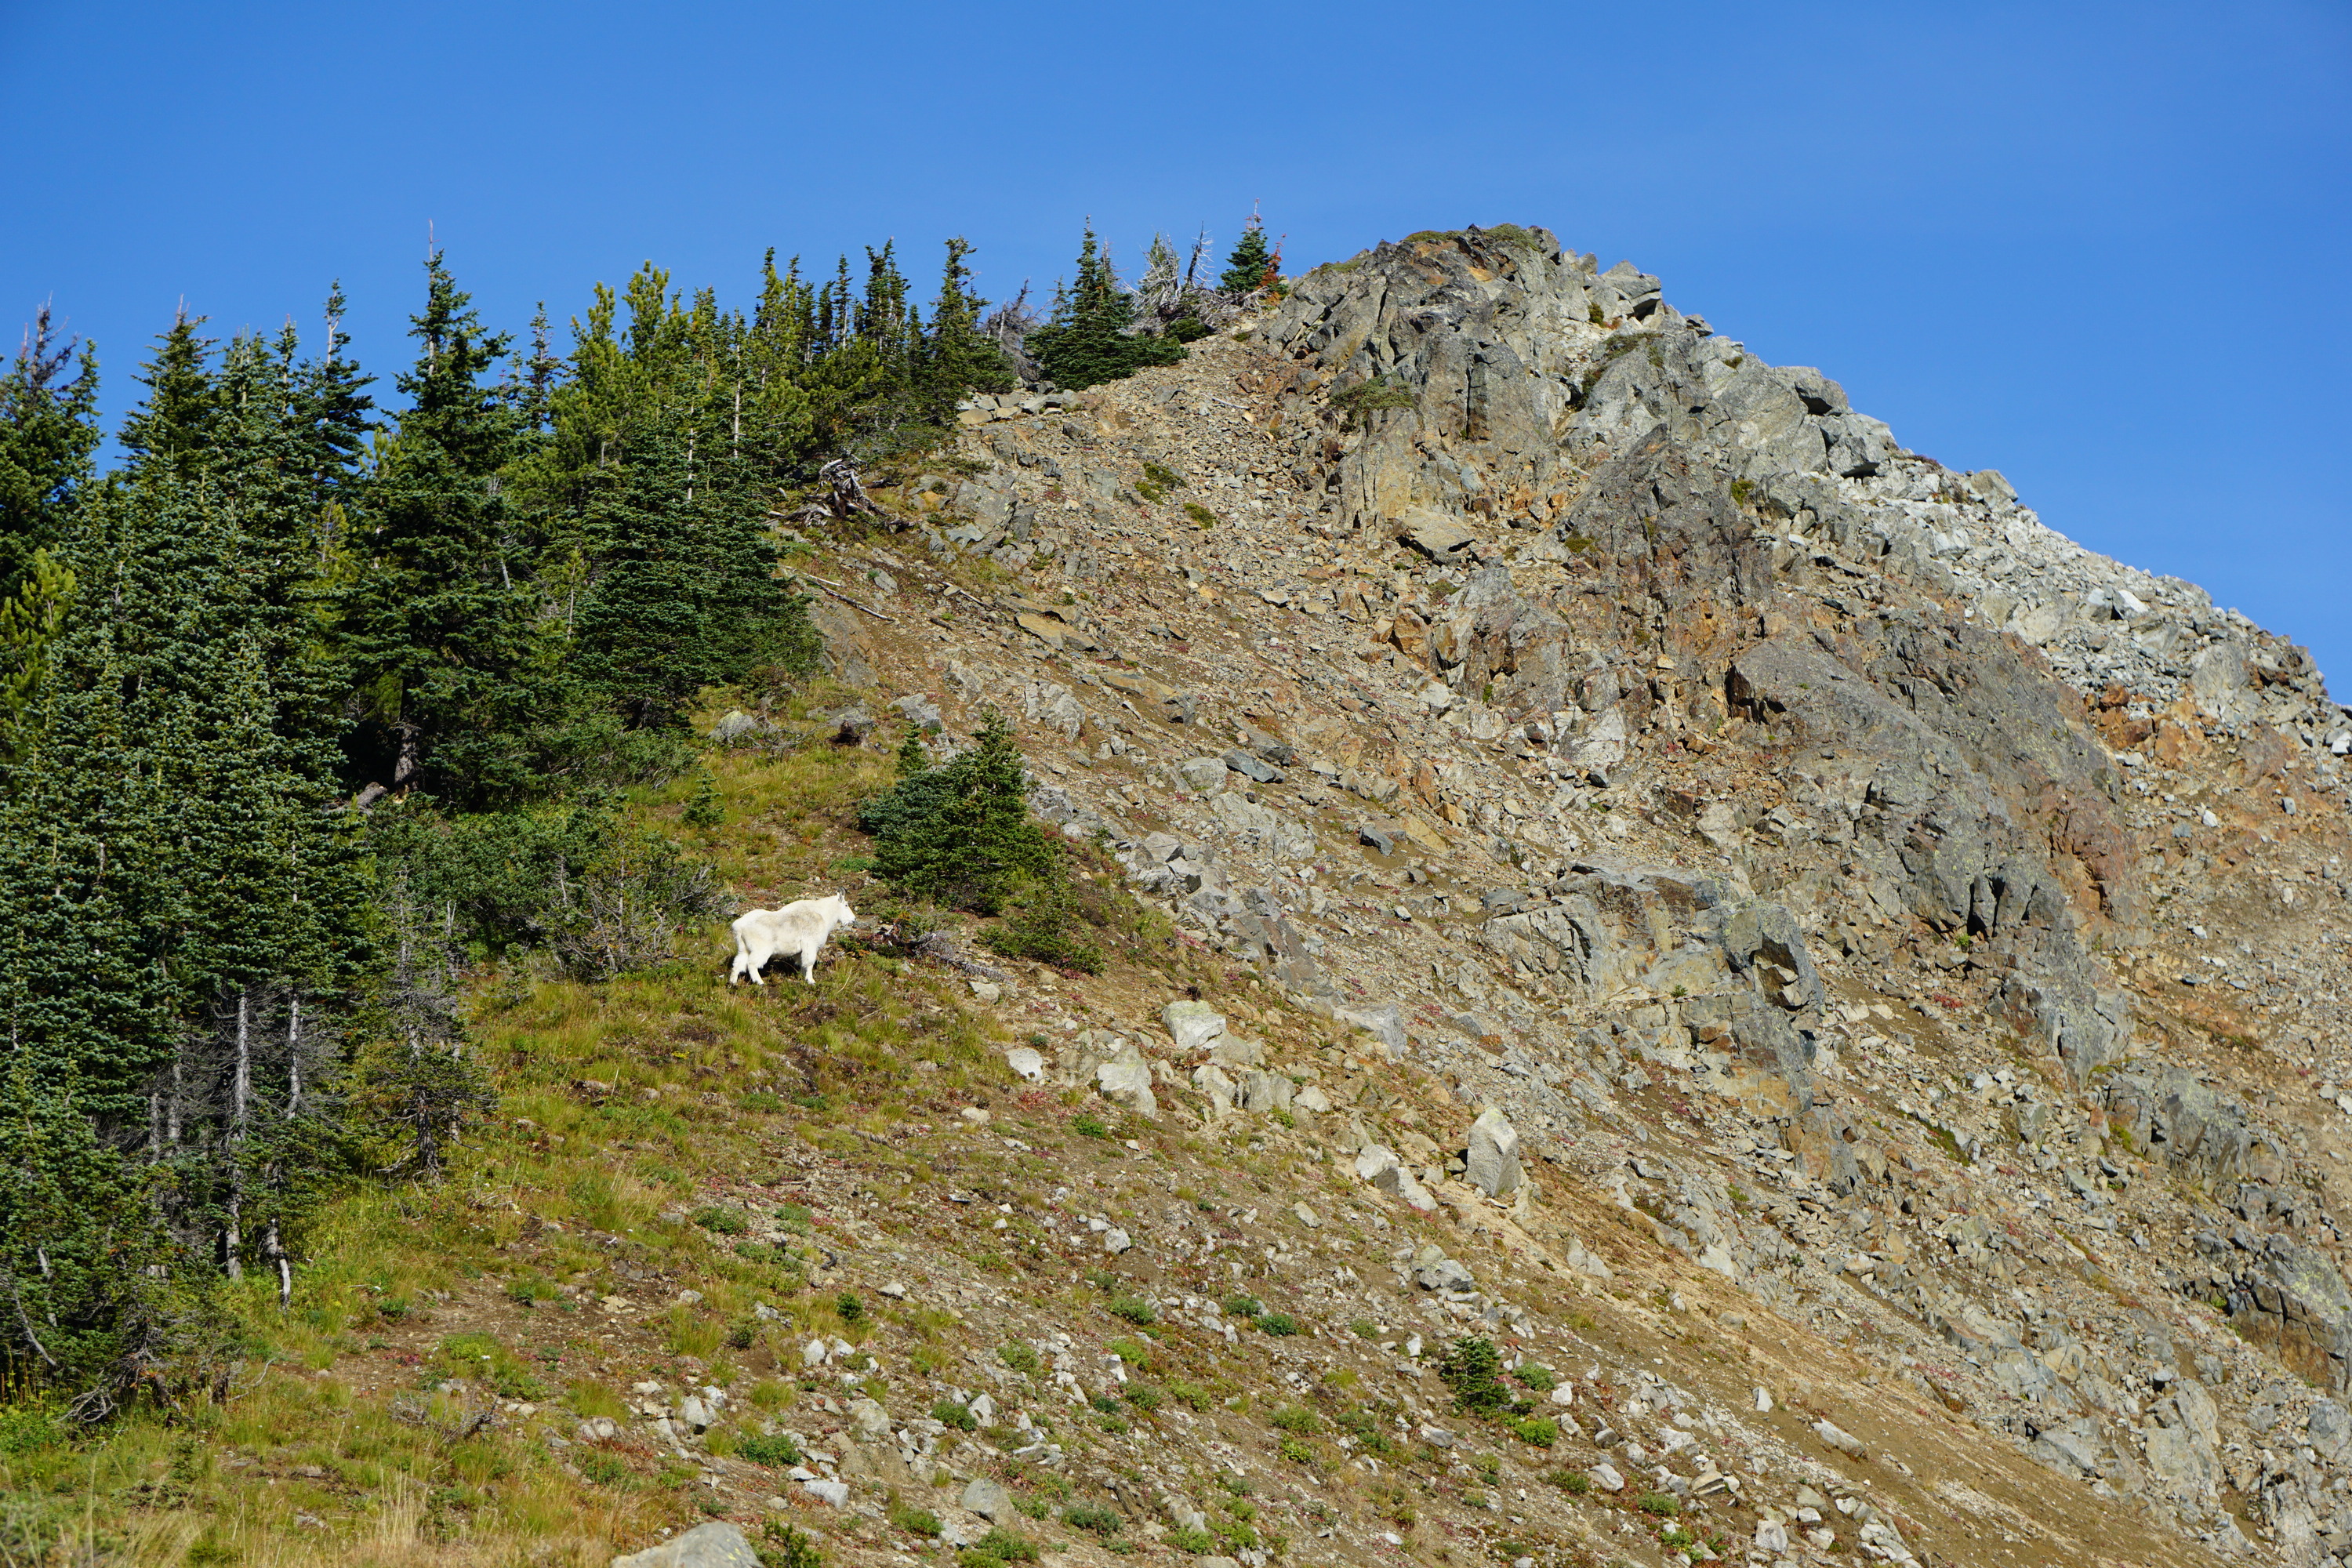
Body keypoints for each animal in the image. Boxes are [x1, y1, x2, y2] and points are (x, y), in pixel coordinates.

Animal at [729, 893, 861, 982]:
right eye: (846, 905)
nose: (854, 919)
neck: (823, 915)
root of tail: (739, 926)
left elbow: (802, 963)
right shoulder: (810, 944)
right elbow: (809, 962)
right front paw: (811, 981)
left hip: (743, 948)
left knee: (738, 963)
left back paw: (733, 983)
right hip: (761, 949)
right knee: (752, 964)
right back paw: (760, 982)